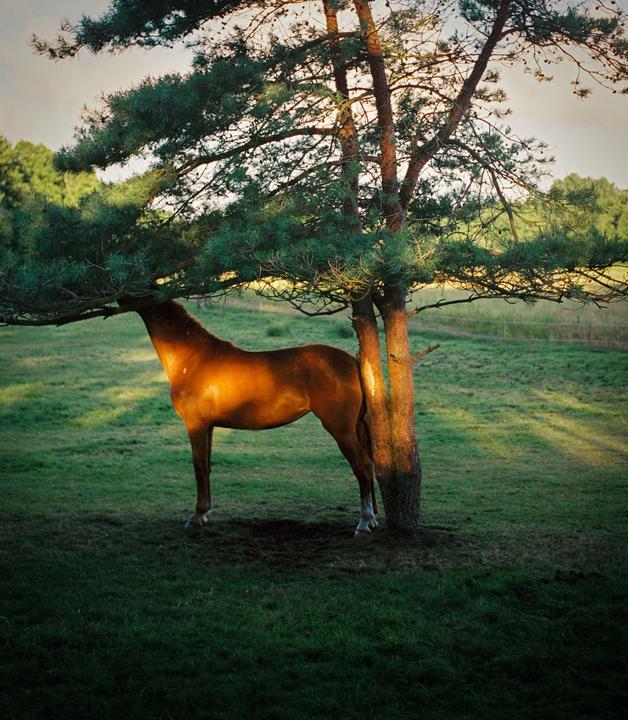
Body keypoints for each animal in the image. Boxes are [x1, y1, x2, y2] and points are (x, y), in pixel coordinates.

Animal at [123, 299, 378, 535]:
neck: (193, 359)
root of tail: (352, 361)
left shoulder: (195, 425)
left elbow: (199, 467)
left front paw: (196, 516)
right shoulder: (208, 427)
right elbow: (207, 466)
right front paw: (205, 513)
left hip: (341, 430)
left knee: (362, 465)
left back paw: (364, 523)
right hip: (356, 428)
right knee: (370, 464)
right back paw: (373, 519)